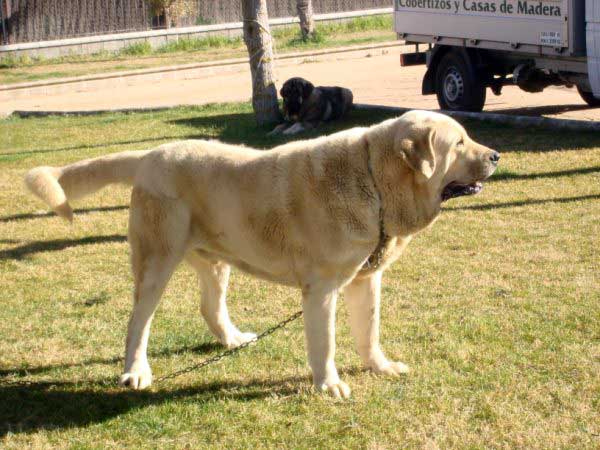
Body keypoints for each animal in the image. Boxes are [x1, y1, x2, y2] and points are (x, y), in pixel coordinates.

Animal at [25, 110, 500, 400]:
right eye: (459, 143)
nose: (496, 155)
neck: (376, 180)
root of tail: (150, 154)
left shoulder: (366, 280)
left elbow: (370, 331)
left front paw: (380, 367)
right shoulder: (321, 290)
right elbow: (325, 344)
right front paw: (329, 386)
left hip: (215, 260)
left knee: (210, 306)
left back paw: (233, 339)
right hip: (157, 259)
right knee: (138, 321)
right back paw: (136, 371)